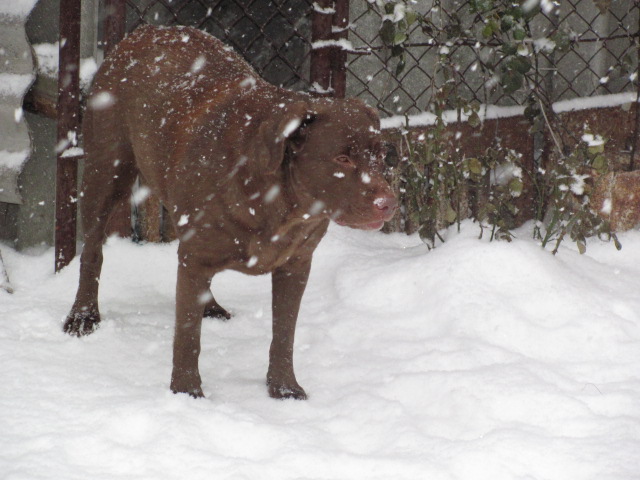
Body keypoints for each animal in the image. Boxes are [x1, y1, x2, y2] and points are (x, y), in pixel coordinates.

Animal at [63, 25, 396, 402]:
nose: (388, 203)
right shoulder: (197, 255)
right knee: (92, 250)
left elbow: (284, 333)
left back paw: (209, 306)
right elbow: (187, 336)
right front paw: (186, 392)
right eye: (342, 159)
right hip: (106, 171)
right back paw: (83, 315)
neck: (280, 205)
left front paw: (283, 387)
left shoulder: (297, 264)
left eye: (380, 155)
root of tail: (145, 31)